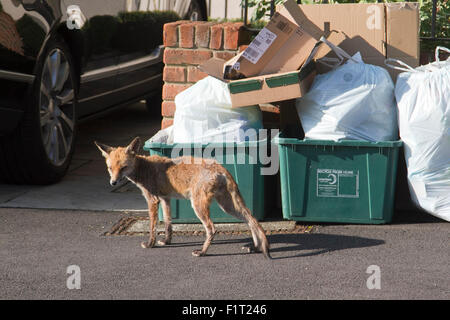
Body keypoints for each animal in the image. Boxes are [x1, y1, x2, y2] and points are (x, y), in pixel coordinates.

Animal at [95, 136, 270, 258]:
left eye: (123, 167)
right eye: (110, 168)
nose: (113, 182)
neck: (144, 169)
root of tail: (220, 167)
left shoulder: (152, 200)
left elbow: (152, 227)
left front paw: (150, 244)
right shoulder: (165, 199)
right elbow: (168, 224)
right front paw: (166, 241)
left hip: (198, 205)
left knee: (212, 229)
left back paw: (202, 252)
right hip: (228, 206)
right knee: (251, 219)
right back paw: (255, 247)